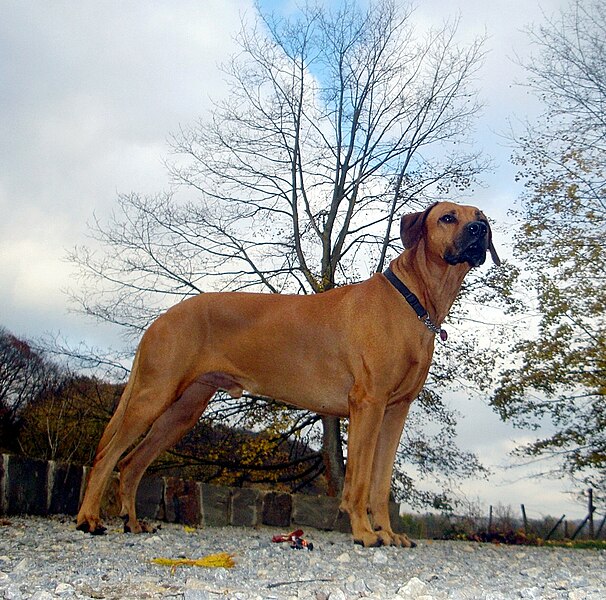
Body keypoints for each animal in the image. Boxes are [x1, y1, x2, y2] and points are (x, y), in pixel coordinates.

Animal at [76, 199, 502, 548]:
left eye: (481, 218)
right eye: (448, 217)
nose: (478, 231)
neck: (413, 299)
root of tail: (162, 317)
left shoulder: (395, 411)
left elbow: (381, 484)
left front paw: (388, 533)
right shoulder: (369, 404)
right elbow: (361, 481)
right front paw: (365, 534)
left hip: (183, 410)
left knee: (132, 463)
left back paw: (133, 523)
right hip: (154, 394)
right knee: (107, 455)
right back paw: (89, 519)